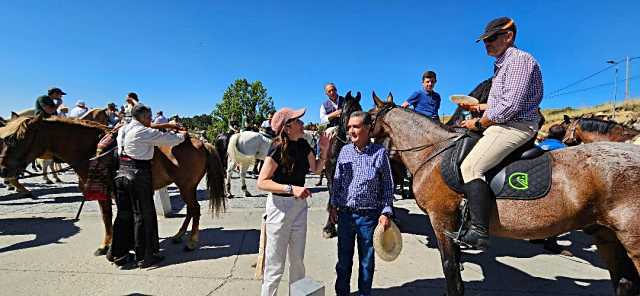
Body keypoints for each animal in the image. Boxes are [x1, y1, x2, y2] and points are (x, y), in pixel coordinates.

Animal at [0, 117, 226, 253]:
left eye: (15, 139)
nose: (3, 169)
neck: (92, 150)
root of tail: (200, 141)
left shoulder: (107, 192)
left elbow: (110, 217)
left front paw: (110, 245)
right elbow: (106, 217)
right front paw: (108, 244)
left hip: (186, 186)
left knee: (194, 210)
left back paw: (192, 241)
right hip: (185, 186)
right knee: (190, 210)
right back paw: (179, 236)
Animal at [322, 90, 362, 238]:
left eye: (360, 111)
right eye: (347, 111)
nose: (354, 135)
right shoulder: (331, 176)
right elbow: (333, 196)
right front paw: (329, 227)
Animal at [368, 93, 640, 296]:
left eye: (368, 116)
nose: (356, 135)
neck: (435, 152)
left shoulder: (441, 219)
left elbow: (450, 268)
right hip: (607, 236)